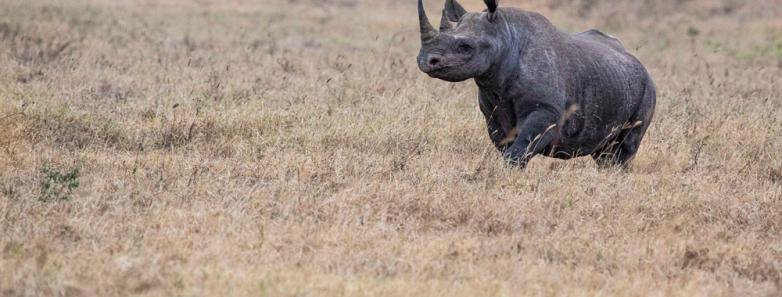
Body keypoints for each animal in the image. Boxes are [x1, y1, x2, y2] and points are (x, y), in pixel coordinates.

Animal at [420, 0, 660, 168]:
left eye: (465, 47)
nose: (425, 59)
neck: (505, 36)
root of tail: (638, 62)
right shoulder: (492, 112)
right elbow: (509, 147)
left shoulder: (546, 111)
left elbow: (518, 151)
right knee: (605, 154)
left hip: (647, 88)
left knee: (625, 148)